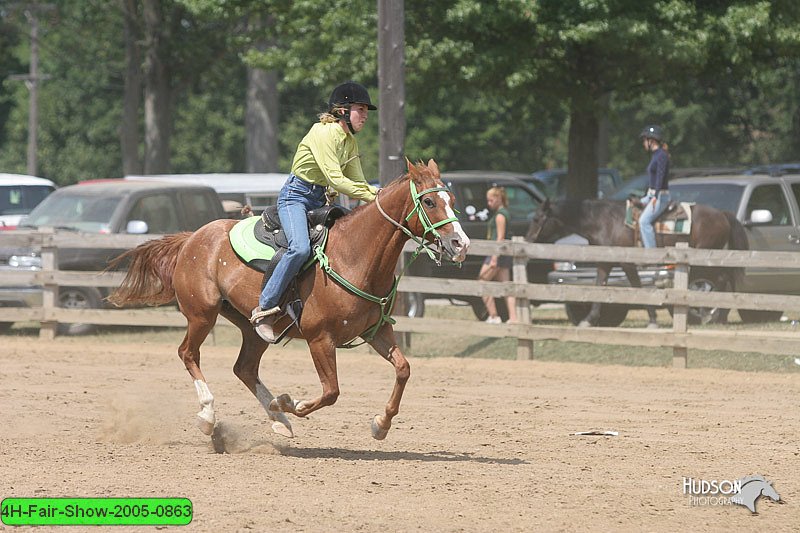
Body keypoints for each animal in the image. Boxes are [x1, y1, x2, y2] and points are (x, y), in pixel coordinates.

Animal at [524, 197, 752, 326]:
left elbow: (637, 287)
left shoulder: (627, 263)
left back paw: (712, 315)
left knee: (721, 281)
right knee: (726, 279)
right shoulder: (605, 263)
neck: (605, 222)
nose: (527, 240)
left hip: (703, 259)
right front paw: (589, 320)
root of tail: (722, 214)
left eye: (536, 219)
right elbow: (599, 286)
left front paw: (652, 320)